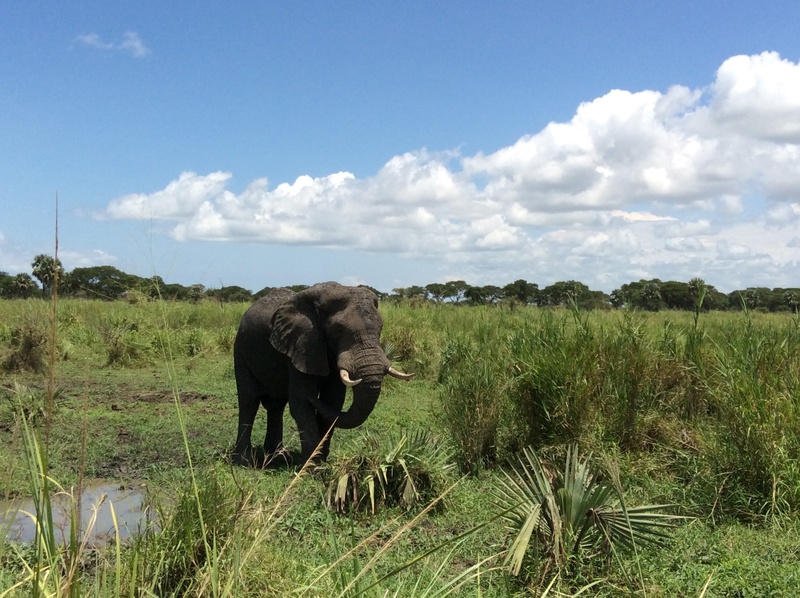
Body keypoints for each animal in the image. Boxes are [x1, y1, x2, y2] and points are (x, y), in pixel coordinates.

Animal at [232, 281, 413, 465]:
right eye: (338, 330)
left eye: (380, 328)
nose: (313, 398)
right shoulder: (302, 345)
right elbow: (300, 404)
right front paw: (312, 466)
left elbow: (333, 401)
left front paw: (321, 461)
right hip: (241, 350)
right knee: (249, 401)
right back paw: (244, 461)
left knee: (276, 405)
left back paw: (278, 457)